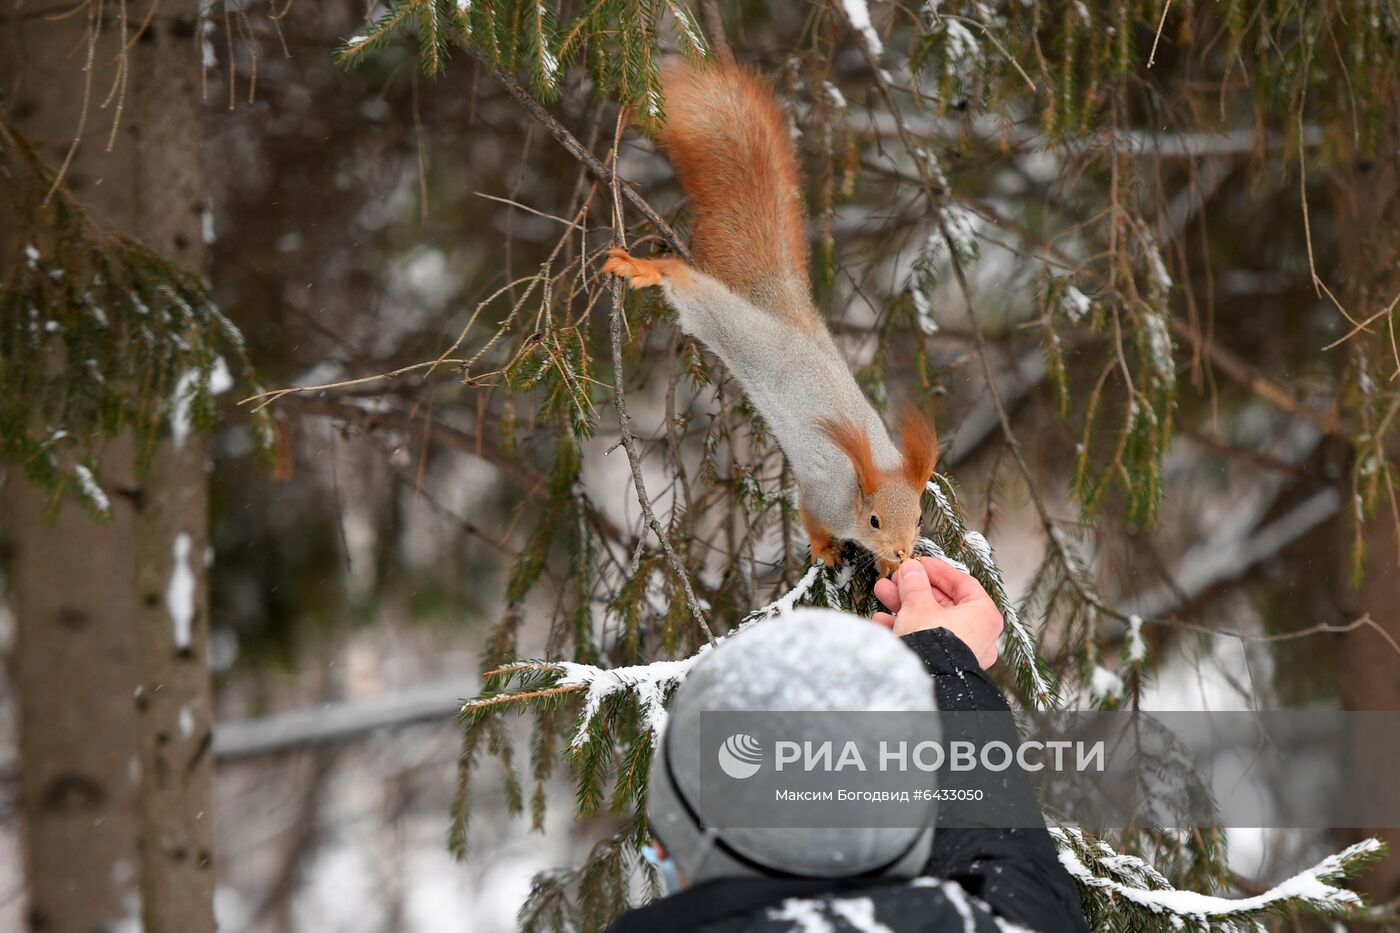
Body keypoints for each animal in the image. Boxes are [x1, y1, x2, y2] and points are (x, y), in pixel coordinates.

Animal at [604, 58, 940, 571]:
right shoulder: (822, 499)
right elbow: (810, 518)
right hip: (727, 325)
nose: (903, 552)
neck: (868, 473)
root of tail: (788, 319)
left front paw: (889, 566)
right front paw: (826, 550)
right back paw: (642, 268)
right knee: (685, 285)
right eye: (874, 520)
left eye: (921, 518)